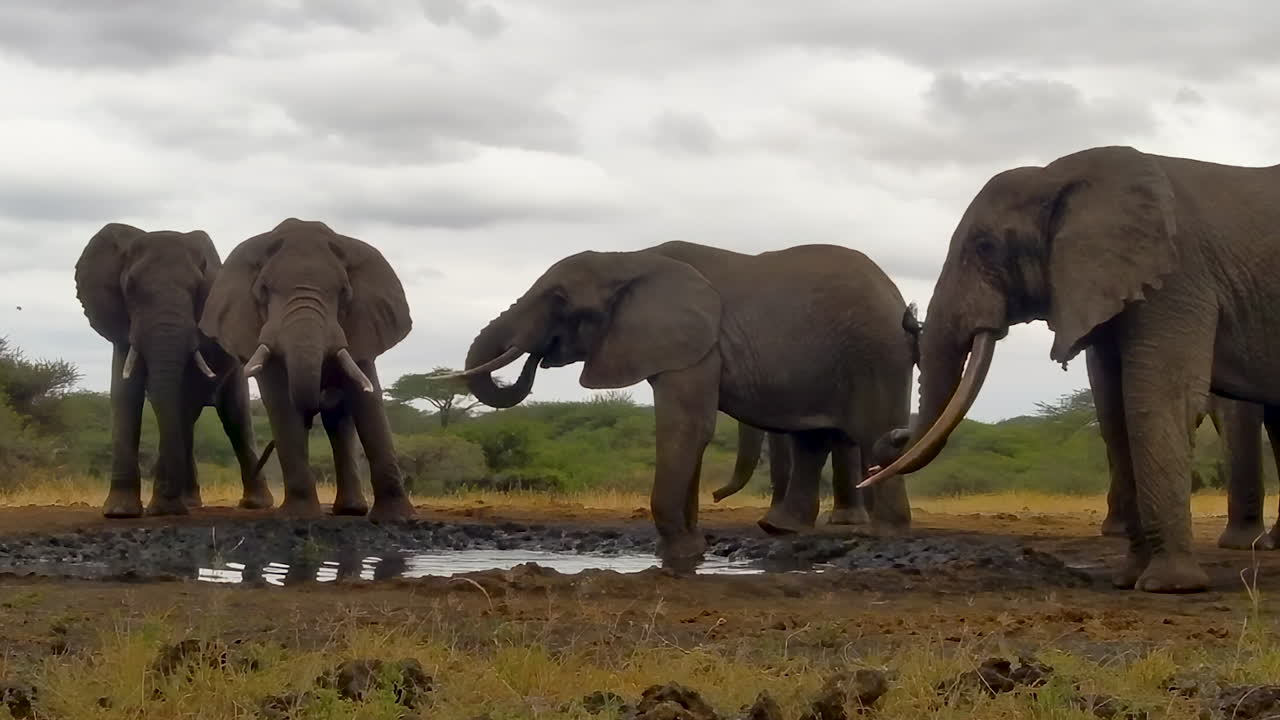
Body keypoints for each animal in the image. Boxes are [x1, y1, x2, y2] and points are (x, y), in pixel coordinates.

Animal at [74, 223, 274, 517]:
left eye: (197, 289)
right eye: (130, 288)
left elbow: (180, 399)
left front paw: (163, 509)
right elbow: (125, 395)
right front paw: (121, 512)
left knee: (235, 419)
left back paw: (254, 504)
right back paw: (189, 503)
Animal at [198, 218, 415, 521]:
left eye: (345, 293)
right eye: (263, 291)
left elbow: (369, 403)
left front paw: (397, 518)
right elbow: (281, 401)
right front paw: (299, 516)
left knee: (339, 420)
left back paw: (351, 510)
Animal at [454, 240, 918, 560]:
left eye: (560, 300)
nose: (538, 356)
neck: (629, 258)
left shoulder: (694, 345)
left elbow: (687, 426)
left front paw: (682, 551)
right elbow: (692, 429)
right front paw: (692, 548)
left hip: (877, 353)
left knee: (873, 432)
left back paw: (883, 534)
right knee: (813, 439)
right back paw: (780, 530)